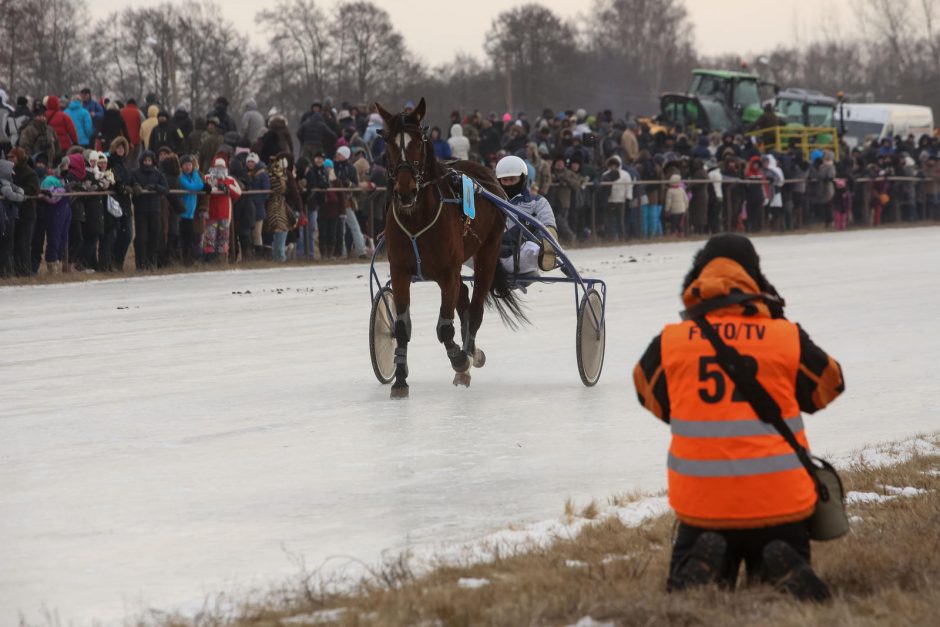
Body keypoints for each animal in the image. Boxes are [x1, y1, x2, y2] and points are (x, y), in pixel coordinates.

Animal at [376, 100, 524, 400]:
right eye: (389, 143)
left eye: (418, 142)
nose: (406, 190)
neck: (416, 218)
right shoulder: (400, 271)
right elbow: (401, 326)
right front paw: (400, 381)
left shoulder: (447, 272)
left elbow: (445, 327)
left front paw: (459, 360)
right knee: (464, 296)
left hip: (487, 251)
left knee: (474, 307)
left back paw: (470, 354)